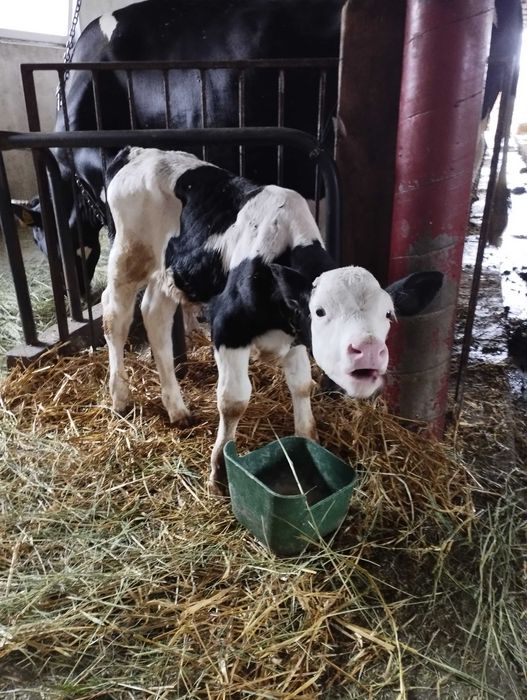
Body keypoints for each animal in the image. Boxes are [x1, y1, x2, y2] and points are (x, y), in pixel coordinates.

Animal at [103, 146, 442, 492]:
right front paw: (220, 471)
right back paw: (120, 398)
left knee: (154, 316)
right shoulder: (228, 327)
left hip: (170, 273)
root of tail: (138, 151)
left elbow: (302, 386)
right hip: (127, 255)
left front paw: (309, 442)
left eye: (388, 314)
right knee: (115, 318)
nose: (369, 350)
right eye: (320, 311)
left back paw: (176, 408)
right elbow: (234, 400)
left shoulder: (296, 334)